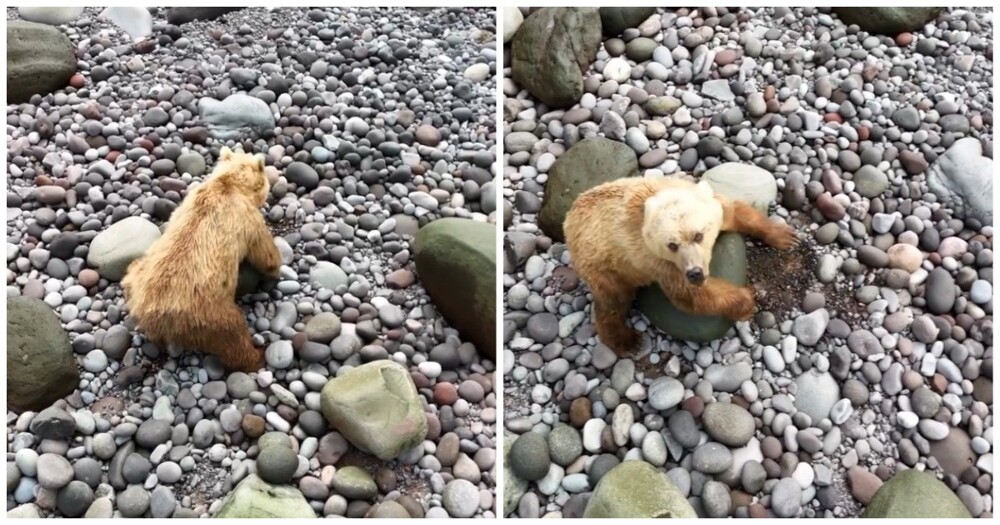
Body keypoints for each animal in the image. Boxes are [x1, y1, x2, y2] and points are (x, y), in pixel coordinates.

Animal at [121, 147, 282, 372]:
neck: (228, 183)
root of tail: (152, 313)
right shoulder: (246, 219)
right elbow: (263, 251)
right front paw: (275, 267)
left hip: (140, 276)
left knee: (132, 271)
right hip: (206, 312)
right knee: (233, 335)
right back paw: (256, 355)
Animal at [564, 176, 798, 356]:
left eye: (698, 235)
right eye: (672, 245)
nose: (695, 273)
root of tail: (568, 219)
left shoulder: (714, 207)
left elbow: (737, 212)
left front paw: (784, 236)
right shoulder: (654, 259)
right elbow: (688, 296)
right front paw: (747, 300)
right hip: (602, 263)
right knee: (612, 300)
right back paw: (627, 341)